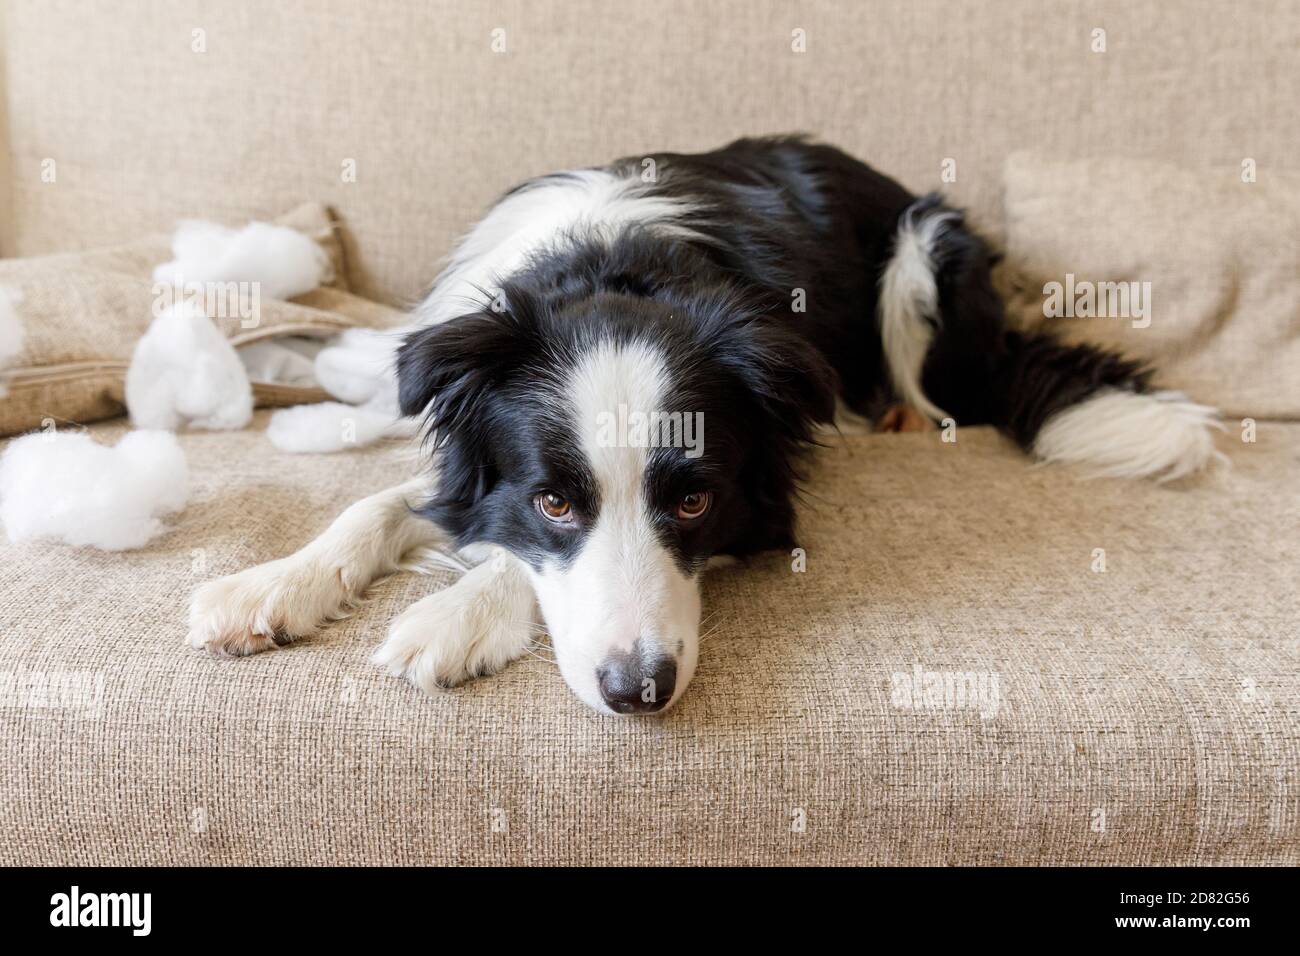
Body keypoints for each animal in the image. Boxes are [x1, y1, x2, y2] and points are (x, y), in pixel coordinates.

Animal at [188, 136, 1222, 717]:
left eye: (694, 503)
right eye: (554, 500)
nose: (636, 694)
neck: (615, 267)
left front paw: (450, 617)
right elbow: (384, 509)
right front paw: (269, 589)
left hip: (924, 248)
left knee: (935, 396)